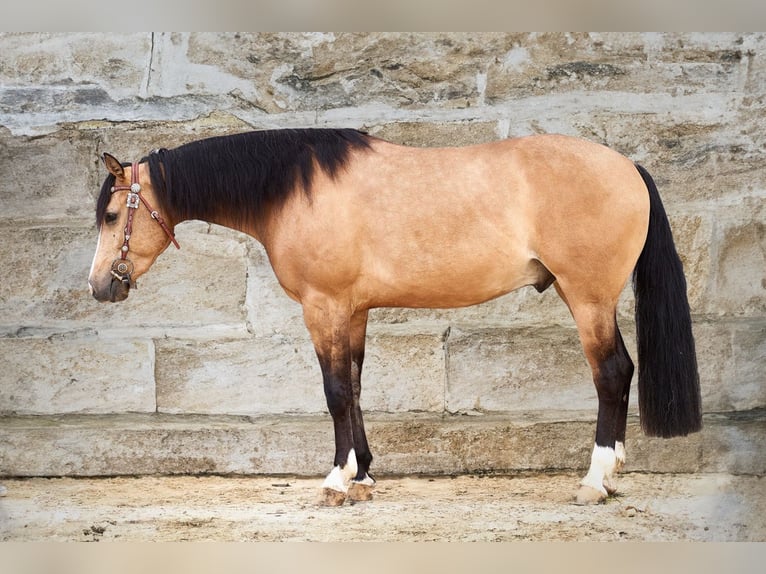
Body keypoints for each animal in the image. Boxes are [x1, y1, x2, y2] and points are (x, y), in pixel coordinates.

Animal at [87, 128, 704, 506]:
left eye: (114, 215)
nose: (99, 286)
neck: (296, 190)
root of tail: (628, 166)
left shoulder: (324, 307)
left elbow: (335, 391)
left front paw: (336, 481)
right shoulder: (354, 311)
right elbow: (357, 387)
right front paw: (362, 476)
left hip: (588, 298)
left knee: (612, 374)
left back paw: (595, 481)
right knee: (621, 373)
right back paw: (614, 471)